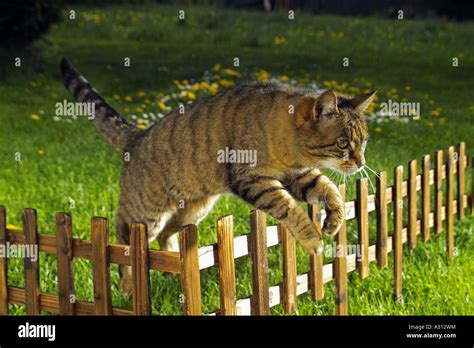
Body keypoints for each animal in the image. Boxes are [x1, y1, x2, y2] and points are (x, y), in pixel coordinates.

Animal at [61, 58, 376, 292]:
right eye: (343, 143)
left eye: (364, 141)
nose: (361, 163)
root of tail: (137, 136)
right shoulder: (254, 180)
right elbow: (290, 209)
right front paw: (312, 239)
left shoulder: (296, 175)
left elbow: (327, 187)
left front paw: (334, 218)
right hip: (145, 216)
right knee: (123, 245)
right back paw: (127, 287)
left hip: (191, 212)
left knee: (164, 239)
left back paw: (173, 272)